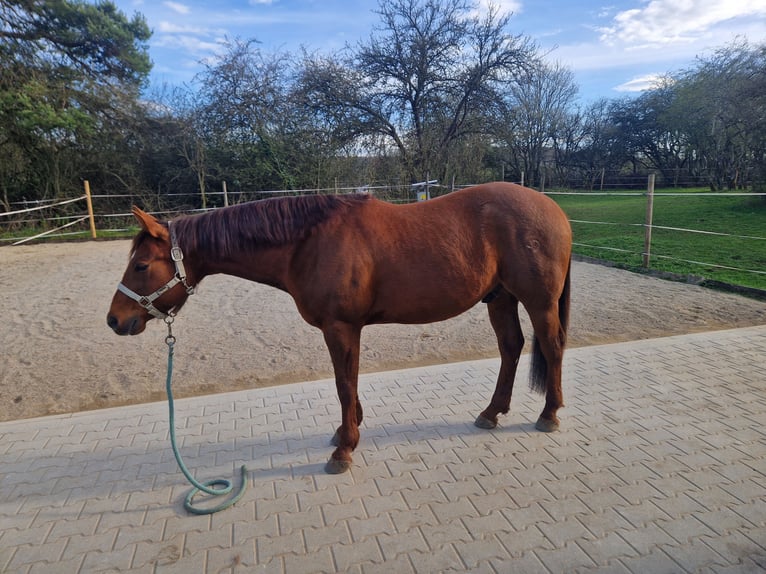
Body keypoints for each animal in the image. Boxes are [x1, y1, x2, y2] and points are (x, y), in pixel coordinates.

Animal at [107, 182, 572, 474]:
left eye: (141, 265)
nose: (115, 320)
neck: (308, 242)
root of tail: (553, 209)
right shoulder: (345, 329)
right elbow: (348, 380)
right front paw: (346, 432)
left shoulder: (341, 327)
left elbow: (344, 383)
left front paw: (345, 448)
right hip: (501, 298)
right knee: (511, 347)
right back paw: (491, 412)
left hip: (538, 301)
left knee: (551, 347)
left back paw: (549, 414)